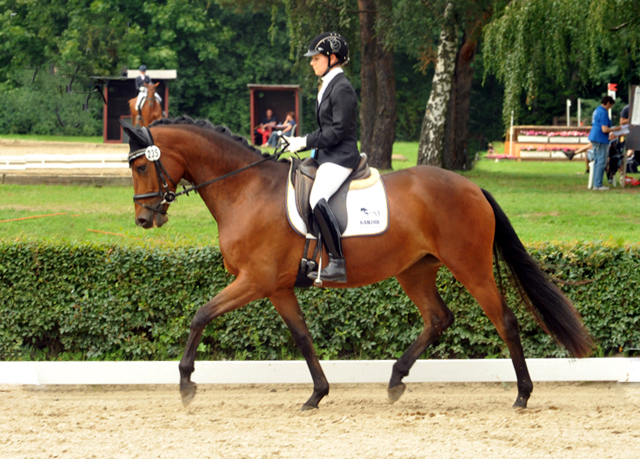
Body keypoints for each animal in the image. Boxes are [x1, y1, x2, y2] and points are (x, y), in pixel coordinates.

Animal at [121, 117, 596, 412]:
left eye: (142, 165)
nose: (144, 219)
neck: (246, 189)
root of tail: (472, 186)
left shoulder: (254, 281)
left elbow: (201, 315)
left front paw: (186, 384)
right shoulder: (277, 287)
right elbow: (302, 337)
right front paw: (317, 394)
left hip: (470, 267)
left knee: (505, 321)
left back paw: (522, 395)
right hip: (415, 269)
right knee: (438, 318)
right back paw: (396, 380)